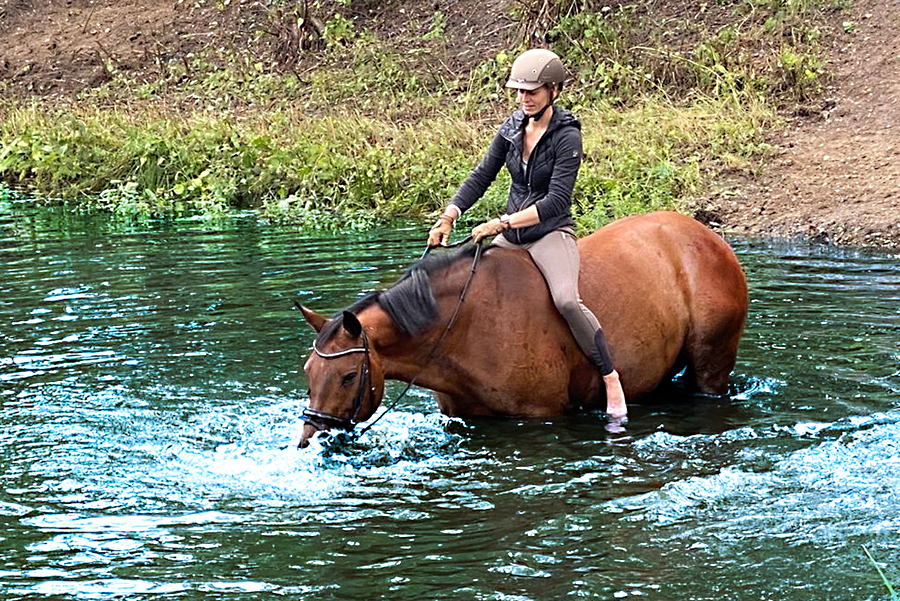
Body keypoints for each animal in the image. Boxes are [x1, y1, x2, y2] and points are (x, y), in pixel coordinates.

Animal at [297, 211, 748, 448]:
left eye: (348, 376)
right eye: (308, 373)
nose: (309, 438)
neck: (463, 330)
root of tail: (709, 238)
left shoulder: (538, 417)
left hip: (711, 367)